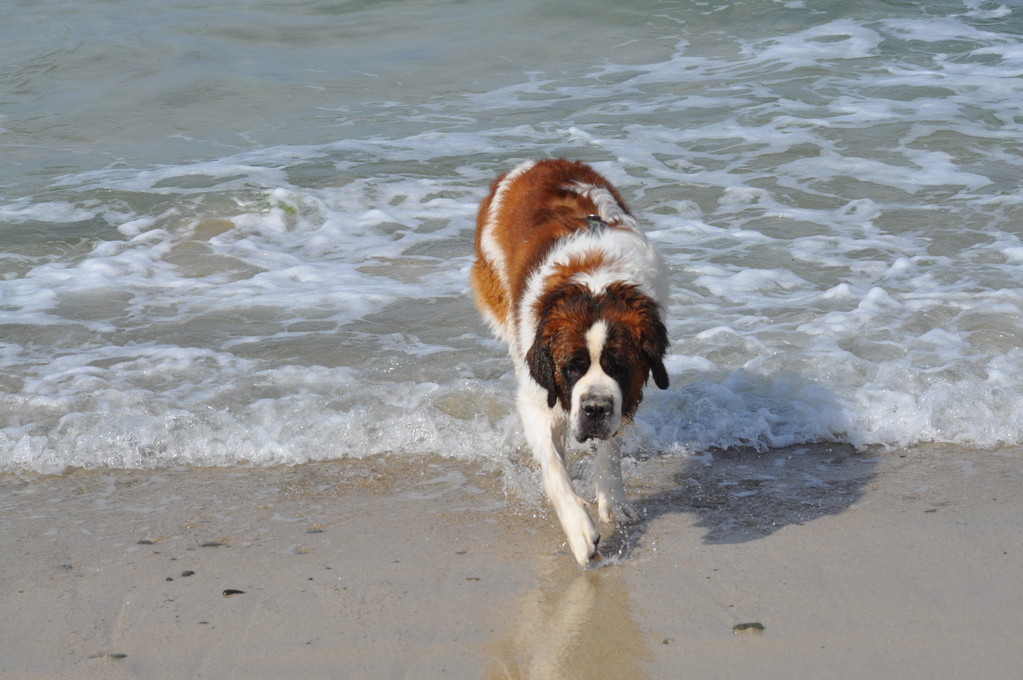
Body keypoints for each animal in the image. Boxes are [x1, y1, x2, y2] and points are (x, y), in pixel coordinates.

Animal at [470, 157, 671, 560]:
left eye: (618, 366)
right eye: (571, 368)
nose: (593, 409)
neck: (595, 287)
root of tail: (536, 161)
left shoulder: (625, 395)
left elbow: (611, 447)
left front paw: (612, 500)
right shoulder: (537, 392)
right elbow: (553, 467)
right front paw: (579, 528)